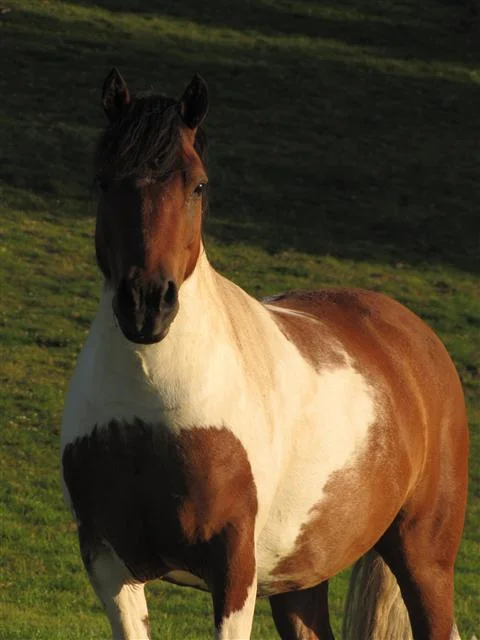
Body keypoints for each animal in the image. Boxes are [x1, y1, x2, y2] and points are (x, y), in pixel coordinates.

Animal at [61, 69, 469, 640]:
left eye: (198, 185)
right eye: (103, 181)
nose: (147, 304)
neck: (149, 412)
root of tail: (413, 336)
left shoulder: (233, 566)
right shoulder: (107, 562)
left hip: (424, 556)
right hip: (300, 578)